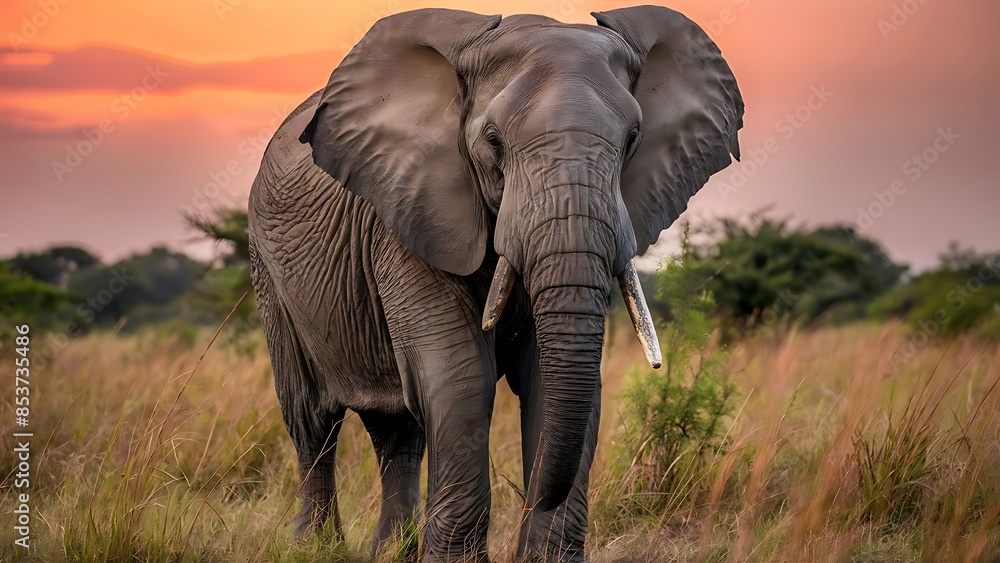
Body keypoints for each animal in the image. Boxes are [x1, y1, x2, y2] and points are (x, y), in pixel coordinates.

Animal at [248, 6, 743, 561]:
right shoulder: (411, 210)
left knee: (396, 428)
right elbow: (461, 377)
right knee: (312, 418)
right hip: (268, 271)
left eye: (633, 138)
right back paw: (314, 546)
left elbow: (550, 381)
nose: (532, 499)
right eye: (493, 141)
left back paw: (390, 550)